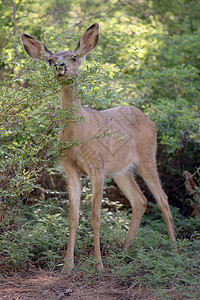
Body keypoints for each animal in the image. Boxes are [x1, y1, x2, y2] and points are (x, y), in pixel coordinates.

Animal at [20, 22, 175, 272]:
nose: (60, 67)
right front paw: (67, 266)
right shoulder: (70, 168)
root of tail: (149, 119)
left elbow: (95, 217)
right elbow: (73, 217)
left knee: (162, 199)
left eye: (73, 57)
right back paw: (124, 252)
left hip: (147, 157)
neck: (77, 133)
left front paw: (98, 265)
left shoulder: (97, 167)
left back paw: (174, 249)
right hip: (121, 170)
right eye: (50, 60)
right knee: (140, 201)